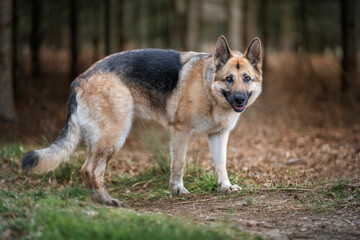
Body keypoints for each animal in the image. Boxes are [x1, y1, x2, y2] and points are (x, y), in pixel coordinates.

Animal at [22, 35, 262, 206]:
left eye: (246, 78)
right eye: (229, 79)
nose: (239, 99)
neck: (209, 89)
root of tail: (80, 78)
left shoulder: (218, 136)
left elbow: (221, 165)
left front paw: (225, 187)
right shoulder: (180, 132)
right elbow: (179, 164)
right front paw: (177, 190)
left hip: (100, 140)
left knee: (85, 169)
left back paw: (96, 201)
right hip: (114, 136)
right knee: (91, 170)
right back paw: (107, 201)